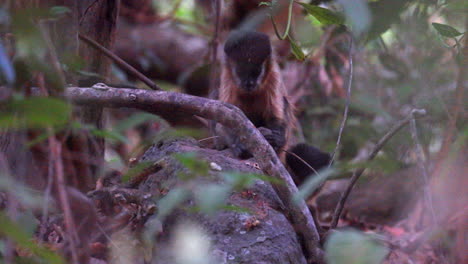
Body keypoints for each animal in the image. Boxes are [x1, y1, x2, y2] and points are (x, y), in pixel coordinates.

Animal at [218, 29, 330, 185]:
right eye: (240, 71)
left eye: (256, 72)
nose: (249, 83)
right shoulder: (227, 77)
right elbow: (226, 115)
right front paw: (236, 144)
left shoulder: (273, 74)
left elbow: (275, 115)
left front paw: (276, 139)